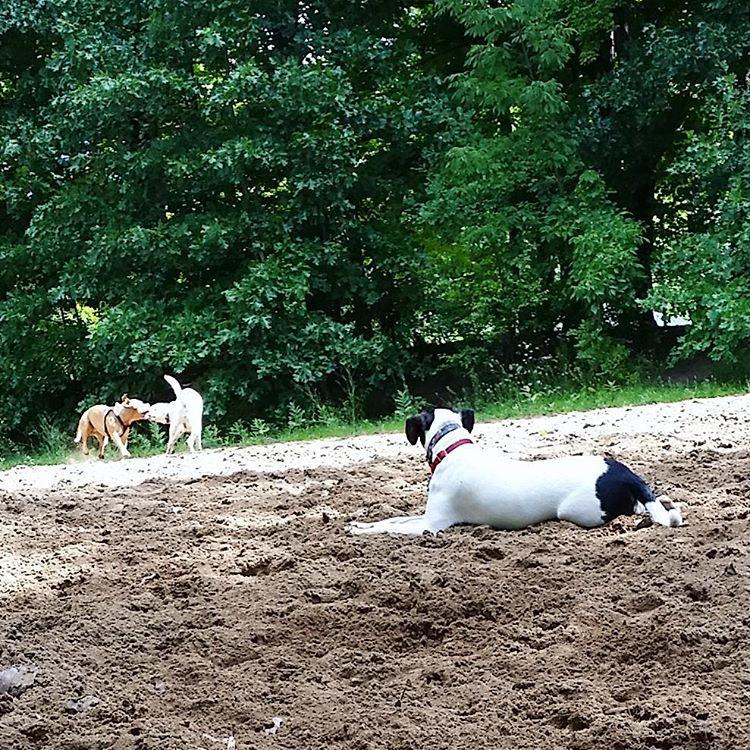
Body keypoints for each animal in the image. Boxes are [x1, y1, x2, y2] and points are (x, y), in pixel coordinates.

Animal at [350, 408, 684, 536]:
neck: (453, 449)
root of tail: (624, 473)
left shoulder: (431, 526)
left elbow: (391, 528)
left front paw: (360, 531)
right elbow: (391, 520)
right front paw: (360, 524)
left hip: (579, 513)